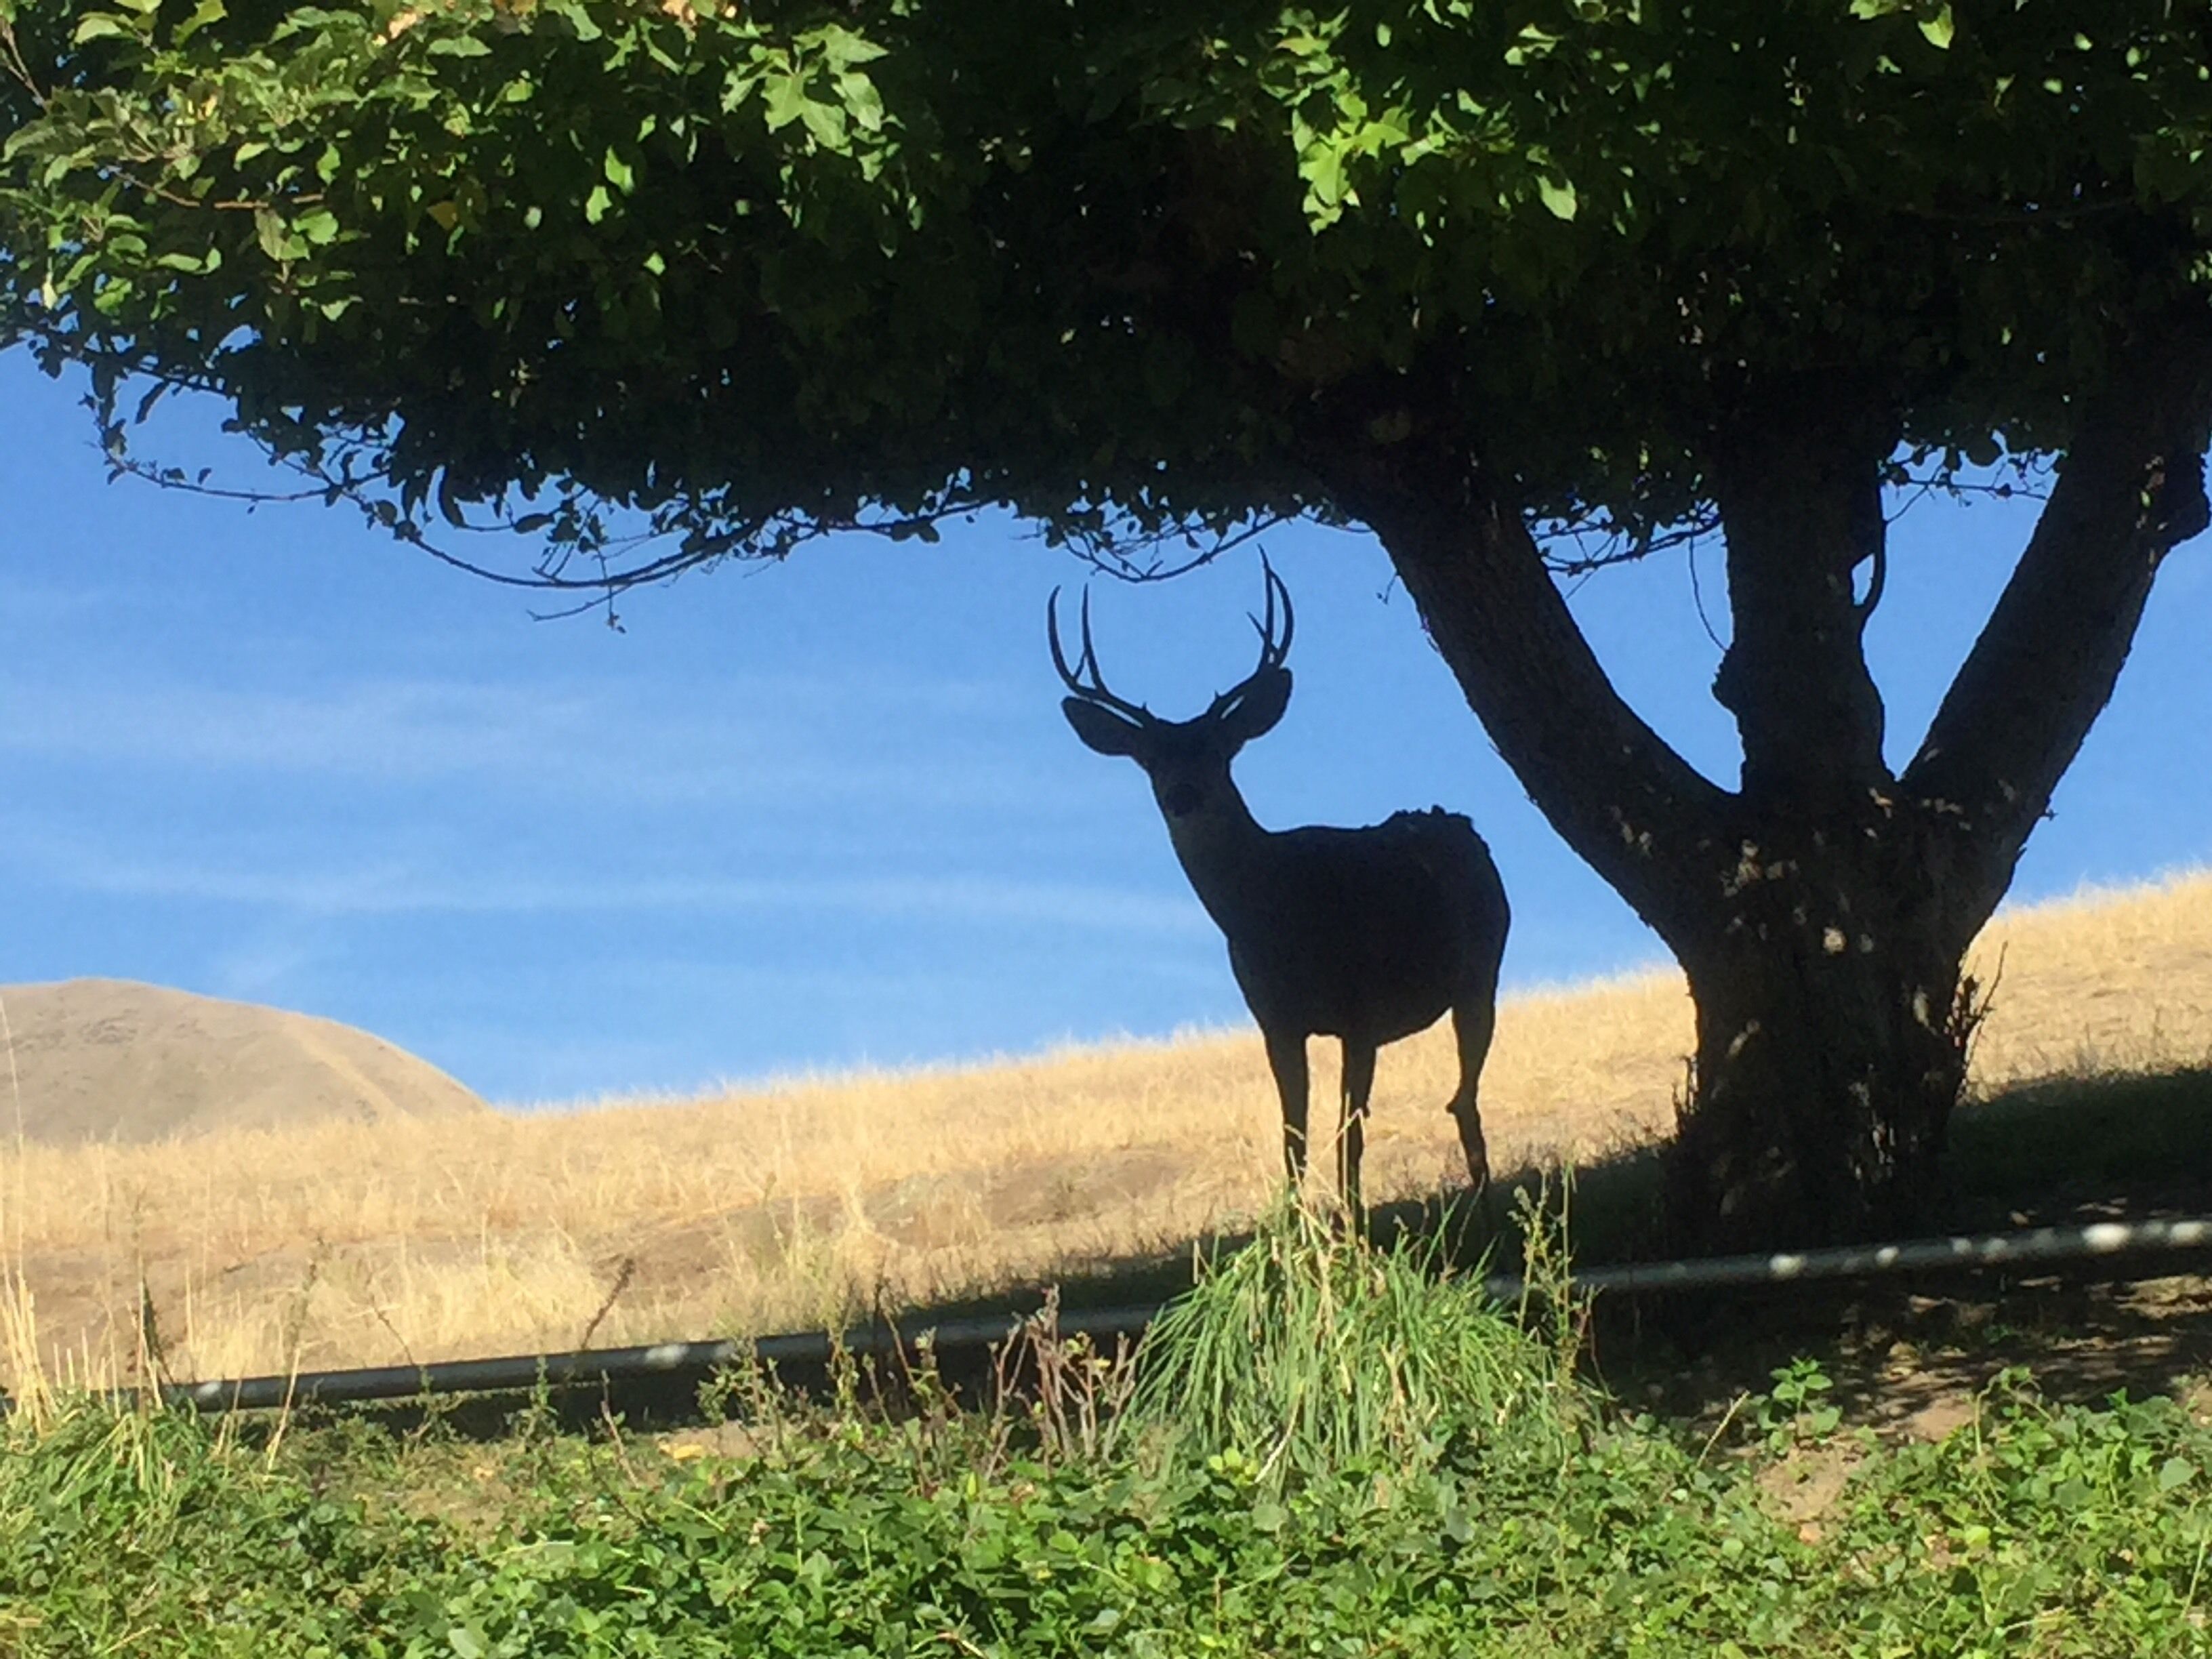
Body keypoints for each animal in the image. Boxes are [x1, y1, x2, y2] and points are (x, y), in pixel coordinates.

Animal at [1049, 560, 1511, 1224]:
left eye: (1221, 750)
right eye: (1149, 759)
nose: (1183, 795)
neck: (1276, 916)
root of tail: (1458, 823)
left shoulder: (1361, 1010)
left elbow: (1349, 1129)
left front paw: (1350, 1224)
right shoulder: (1274, 1020)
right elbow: (1293, 1131)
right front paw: (1294, 1228)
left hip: (1483, 972)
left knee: (1465, 1093)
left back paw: (1485, 1198)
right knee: (1458, 1096)